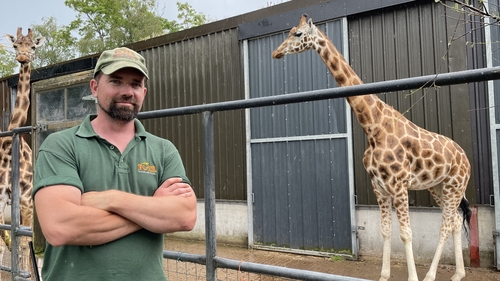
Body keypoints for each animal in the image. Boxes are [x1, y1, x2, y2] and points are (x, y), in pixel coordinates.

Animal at [272, 14, 470, 280]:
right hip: (437, 187)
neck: (373, 126)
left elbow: (406, 234)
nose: (275, 52)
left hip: (454, 185)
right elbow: (386, 231)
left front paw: (413, 277)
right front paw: (384, 275)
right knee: (456, 220)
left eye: (298, 34)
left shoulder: (399, 186)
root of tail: (466, 158)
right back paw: (458, 273)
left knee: (447, 224)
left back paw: (430, 275)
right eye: (290, 31)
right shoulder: (379, 187)